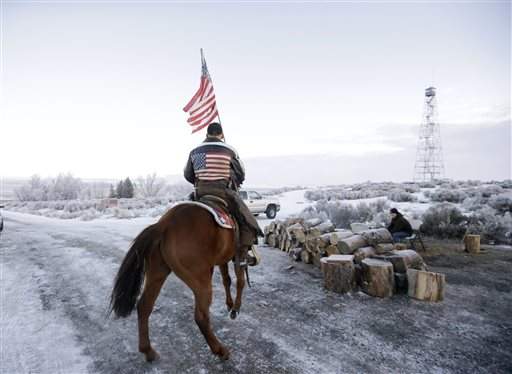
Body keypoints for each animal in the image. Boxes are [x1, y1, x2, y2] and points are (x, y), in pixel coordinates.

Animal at [110, 203, 248, 360]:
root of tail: (164, 224)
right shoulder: (240, 254)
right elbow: (240, 281)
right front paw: (235, 308)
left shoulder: (223, 259)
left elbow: (227, 279)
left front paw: (230, 304)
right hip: (201, 281)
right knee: (201, 317)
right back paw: (219, 349)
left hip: (157, 272)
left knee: (144, 306)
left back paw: (148, 350)